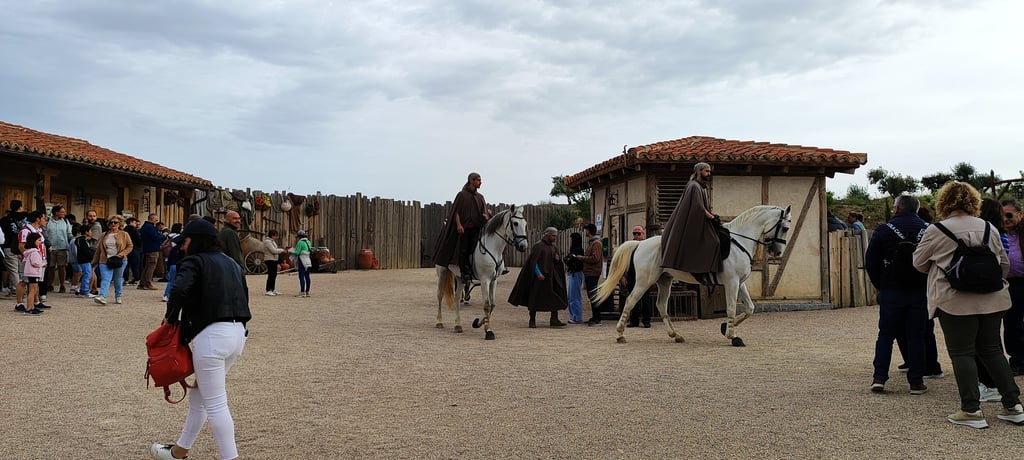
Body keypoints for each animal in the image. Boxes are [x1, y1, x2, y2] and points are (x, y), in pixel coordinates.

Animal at [436, 205, 529, 340]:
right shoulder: (485, 280)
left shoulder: (494, 281)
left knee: (457, 297)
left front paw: (478, 323)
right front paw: (488, 331)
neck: (493, 247)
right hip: (442, 271)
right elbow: (486, 305)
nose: (523, 246)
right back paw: (439, 322)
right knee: (440, 295)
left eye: (525, 224)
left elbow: (492, 305)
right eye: (515, 223)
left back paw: (458, 325)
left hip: (459, 276)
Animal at [594, 205, 792, 346]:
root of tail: (640, 243)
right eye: (785, 227)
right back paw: (620, 334)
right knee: (630, 301)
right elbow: (731, 309)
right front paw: (732, 336)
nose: (777, 252)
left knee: (661, 305)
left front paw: (725, 327)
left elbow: (750, 308)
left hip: (664, 280)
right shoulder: (732, 282)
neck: (740, 241)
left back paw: (675, 335)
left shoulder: (740, 282)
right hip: (645, 281)